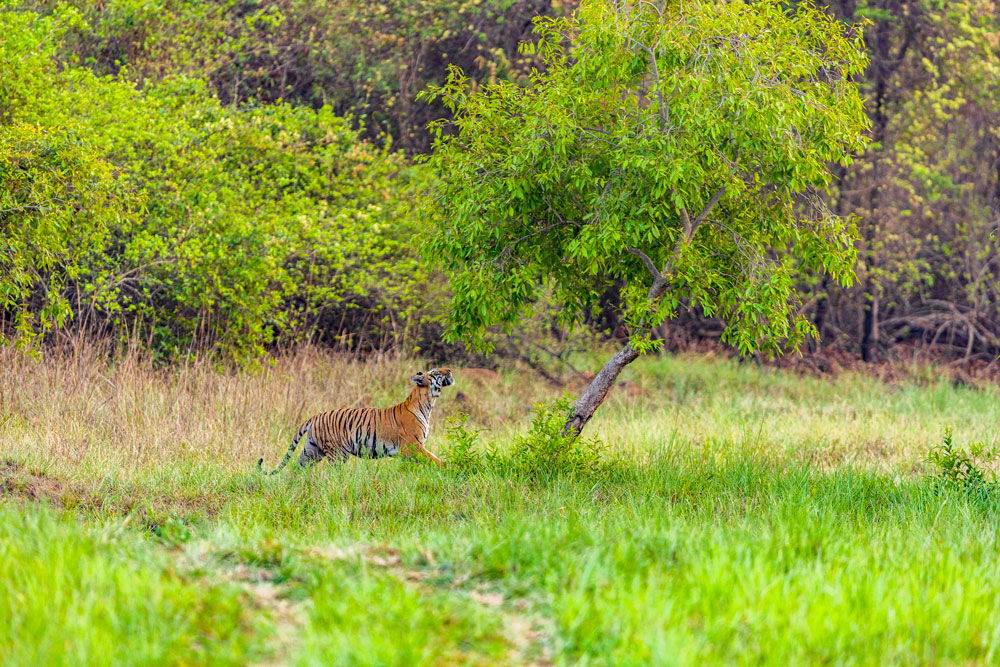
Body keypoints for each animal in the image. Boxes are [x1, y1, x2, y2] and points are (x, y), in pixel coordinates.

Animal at [258, 368, 455, 474]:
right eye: (435, 372)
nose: (450, 370)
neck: (427, 403)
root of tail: (315, 416)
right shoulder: (412, 447)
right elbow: (435, 460)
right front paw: (451, 469)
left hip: (311, 450)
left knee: (297, 468)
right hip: (337, 454)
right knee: (334, 474)